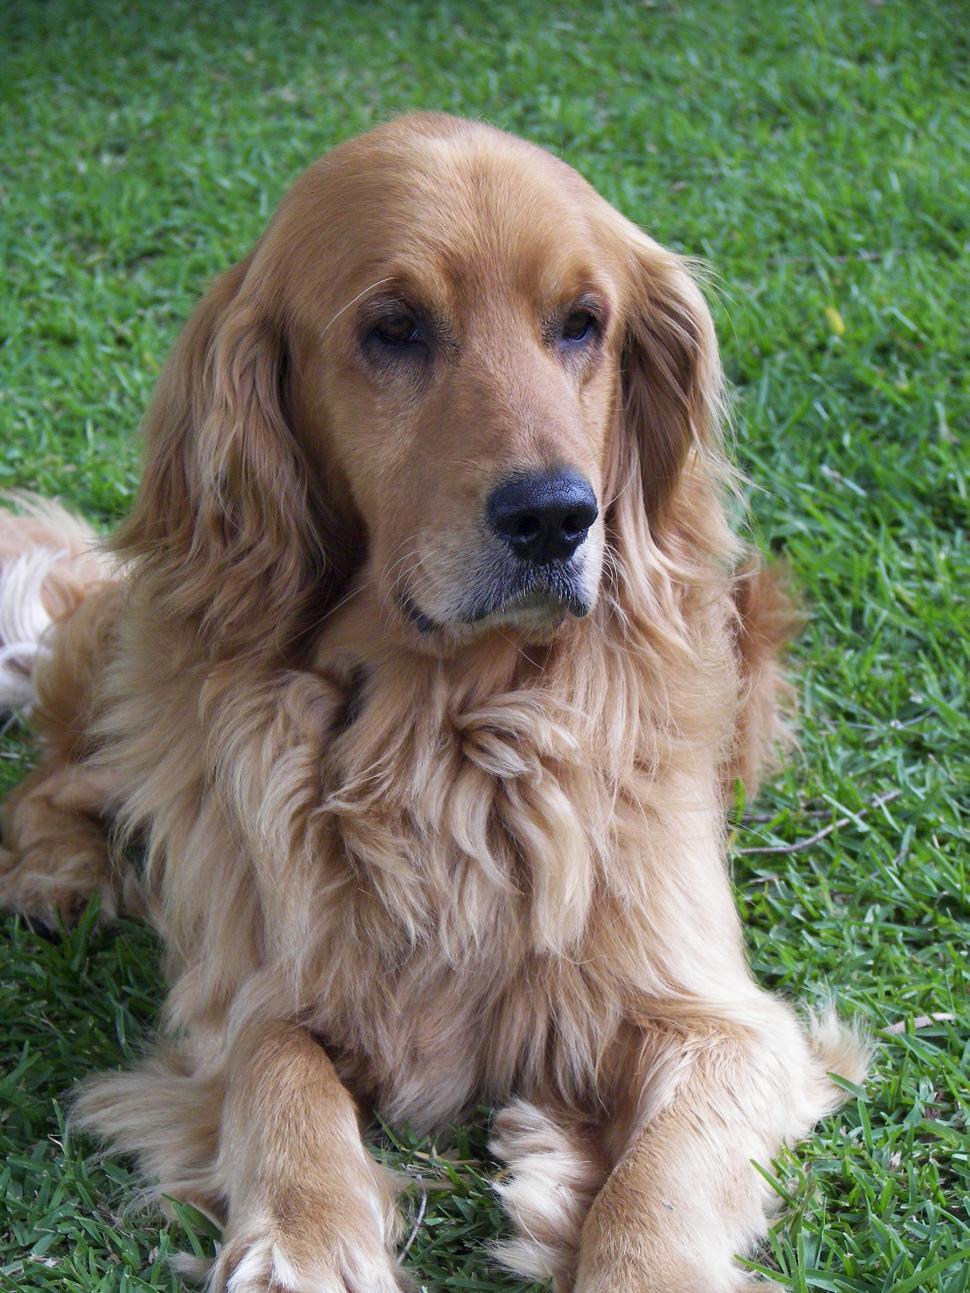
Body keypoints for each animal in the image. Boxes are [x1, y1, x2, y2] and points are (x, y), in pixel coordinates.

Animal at [0, 113, 863, 1293]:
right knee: (55, 770)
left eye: (582, 323)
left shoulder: (720, 1018)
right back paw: (60, 872)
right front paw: (307, 1238)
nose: (555, 516)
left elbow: (659, 1172)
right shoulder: (247, 987)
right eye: (395, 329)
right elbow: (278, 1068)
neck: (449, 724)